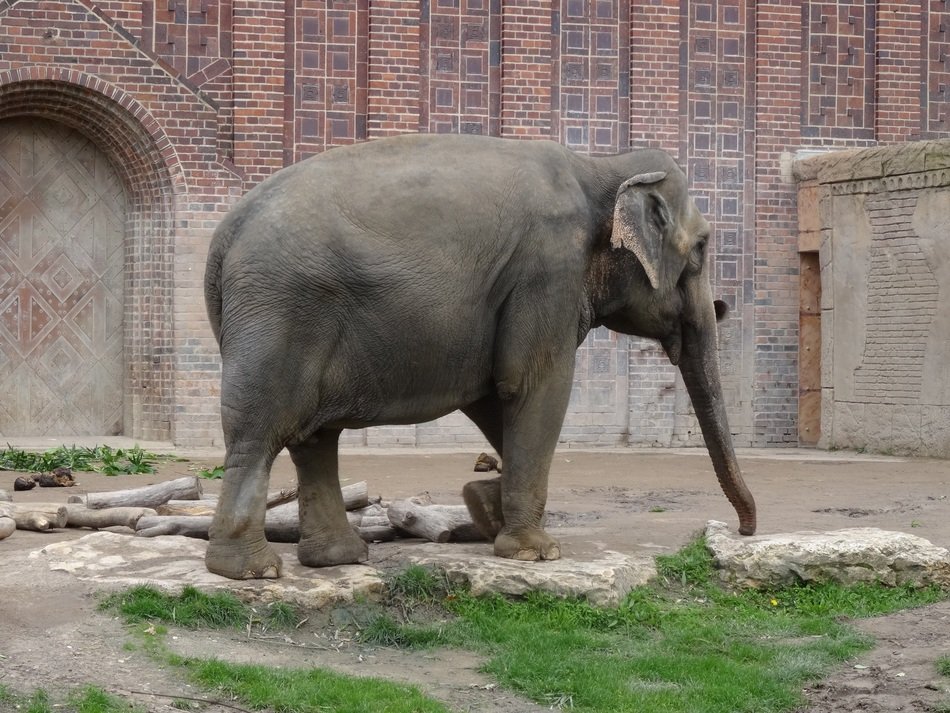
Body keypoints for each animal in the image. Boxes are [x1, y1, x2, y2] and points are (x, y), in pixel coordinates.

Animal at [203, 133, 757, 580]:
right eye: (701, 248)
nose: (745, 531)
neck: (602, 167)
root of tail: (224, 235)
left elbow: (492, 396)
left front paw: (483, 508)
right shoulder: (547, 269)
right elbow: (534, 385)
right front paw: (535, 553)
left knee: (315, 438)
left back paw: (339, 558)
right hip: (281, 311)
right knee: (260, 431)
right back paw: (251, 571)